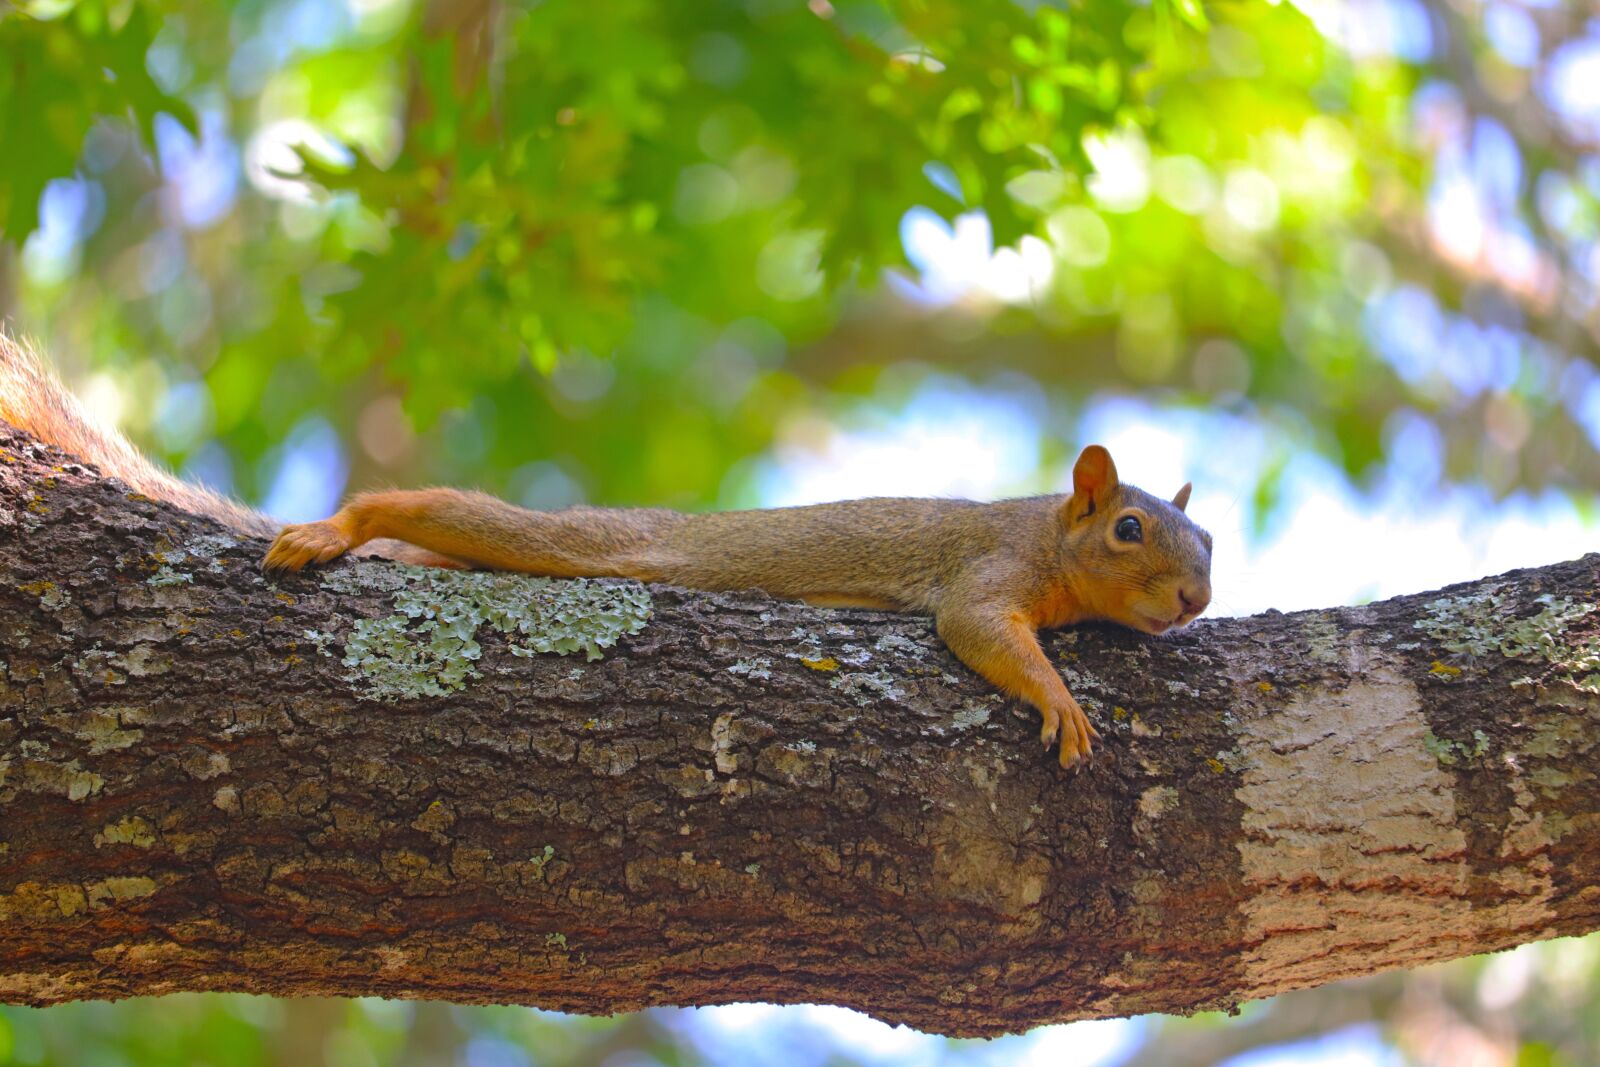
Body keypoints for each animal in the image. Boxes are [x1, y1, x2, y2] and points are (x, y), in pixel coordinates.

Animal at [0, 337, 1203, 764]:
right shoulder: (986, 570)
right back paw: (334, 528)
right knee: (438, 509)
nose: (1194, 598)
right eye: (1127, 527)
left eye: (1208, 538)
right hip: (586, 541)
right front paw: (1061, 702)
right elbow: (977, 629)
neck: (1045, 527)